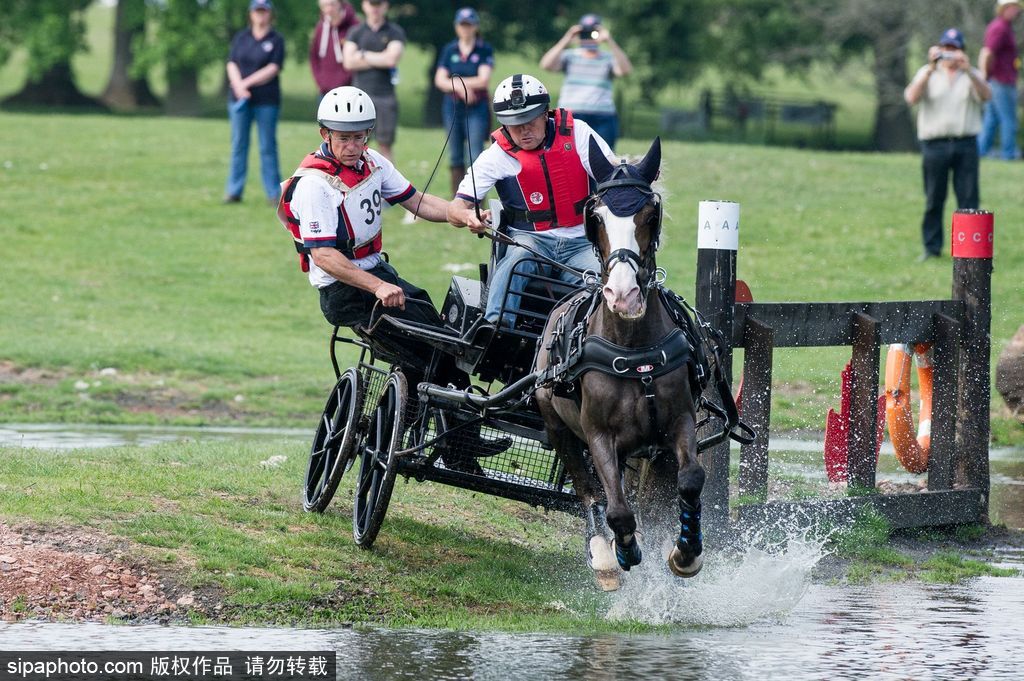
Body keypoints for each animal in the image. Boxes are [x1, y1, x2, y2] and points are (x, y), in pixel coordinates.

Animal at [532, 135, 708, 585]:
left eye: (651, 213)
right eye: (595, 216)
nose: (623, 295)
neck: (633, 349)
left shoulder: (678, 423)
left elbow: (690, 480)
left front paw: (685, 551)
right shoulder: (599, 437)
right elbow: (616, 509)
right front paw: (623, 550)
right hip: (557, 427)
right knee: (588, 490)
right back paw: (603, 553)